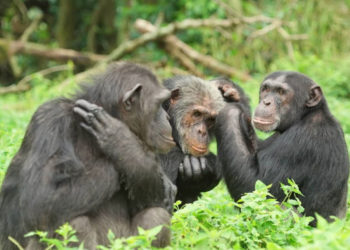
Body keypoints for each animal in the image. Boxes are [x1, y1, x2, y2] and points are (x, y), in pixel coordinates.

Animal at [0, 61, 176, 249]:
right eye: (160, 104)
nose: (167, 117)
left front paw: (122, 142)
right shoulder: (50, 120)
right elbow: (40, 197)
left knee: (156, 215)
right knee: (74, 222)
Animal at [216, 71, 350, 225]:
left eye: (281, 92)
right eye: (266, 89)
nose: (266, 102)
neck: (305, 115)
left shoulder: (302, 141)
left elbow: (255, 187)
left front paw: (229, 108)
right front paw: (232, 91)